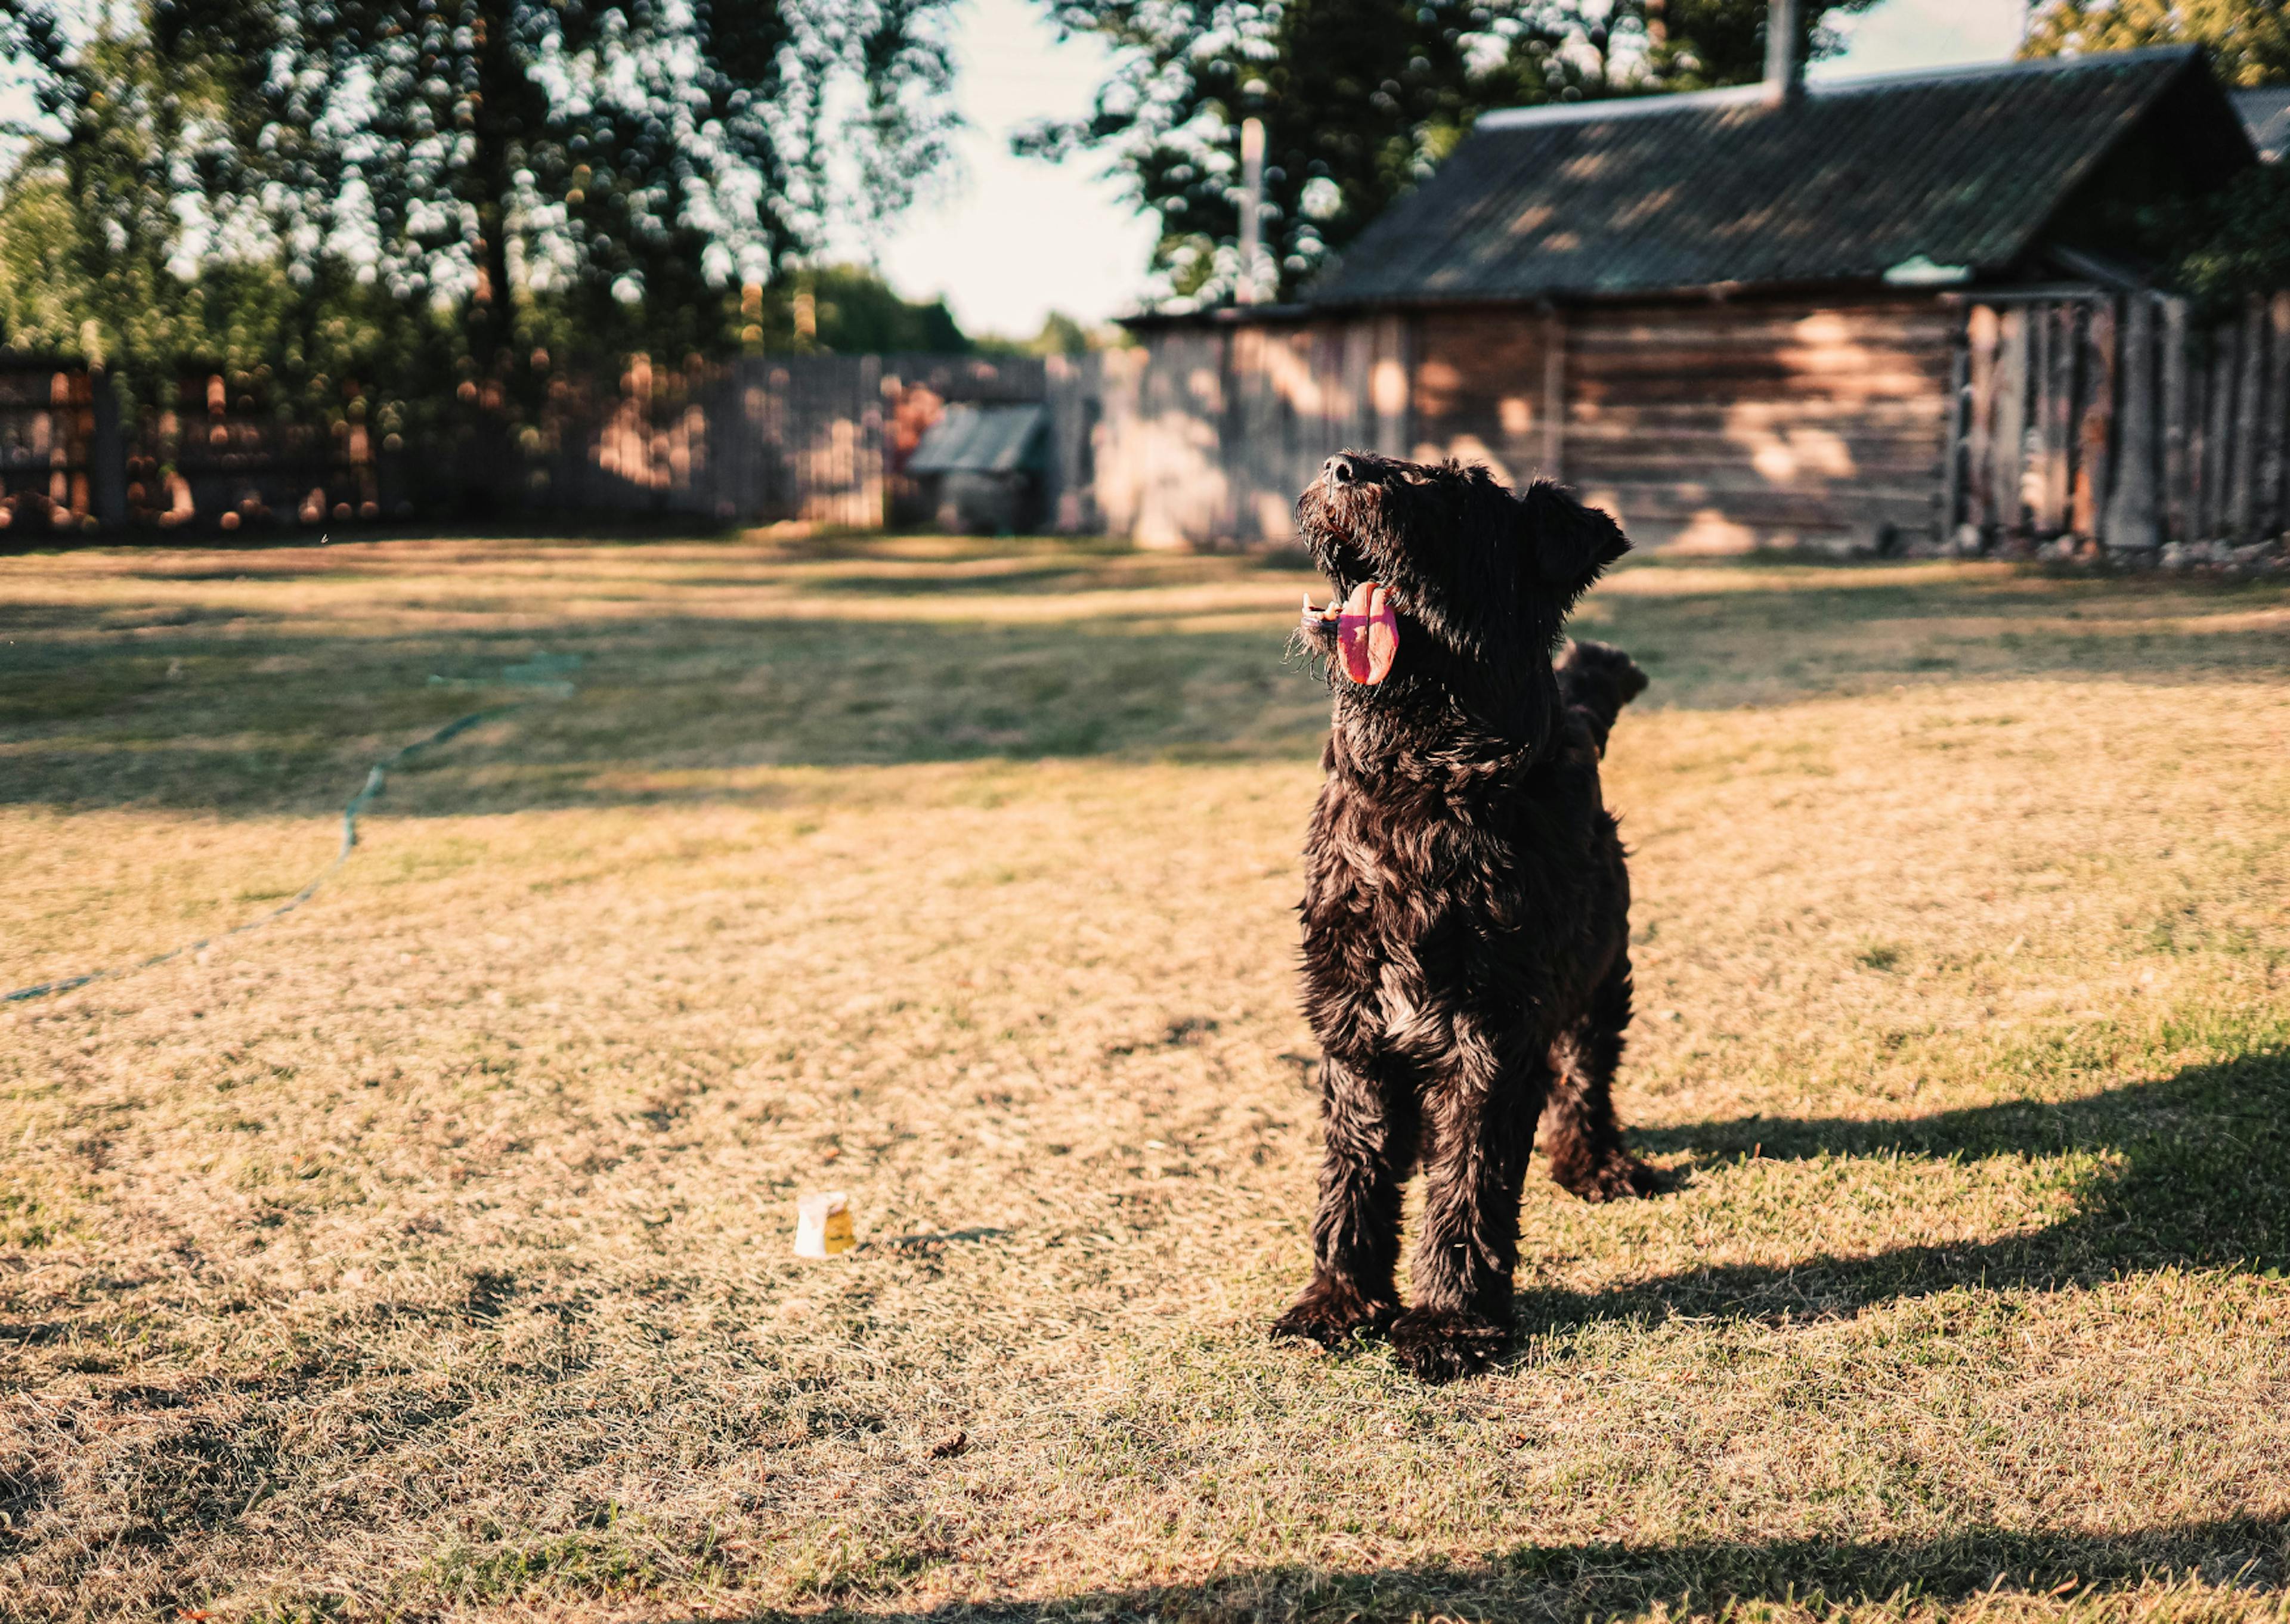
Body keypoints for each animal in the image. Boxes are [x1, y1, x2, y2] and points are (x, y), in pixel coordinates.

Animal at [1273, 453, 1667, 1383]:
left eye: (1453, 498)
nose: (1340, 466)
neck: (1422, 782)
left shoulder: (1492, 1029)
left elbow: (1471, 1182)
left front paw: (1450, 1322)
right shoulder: (1352, 1020)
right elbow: (1353, 1168)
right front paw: (1339, 1300)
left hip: (1601, 976)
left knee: (1585, 1074)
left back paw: (1594, 1161)